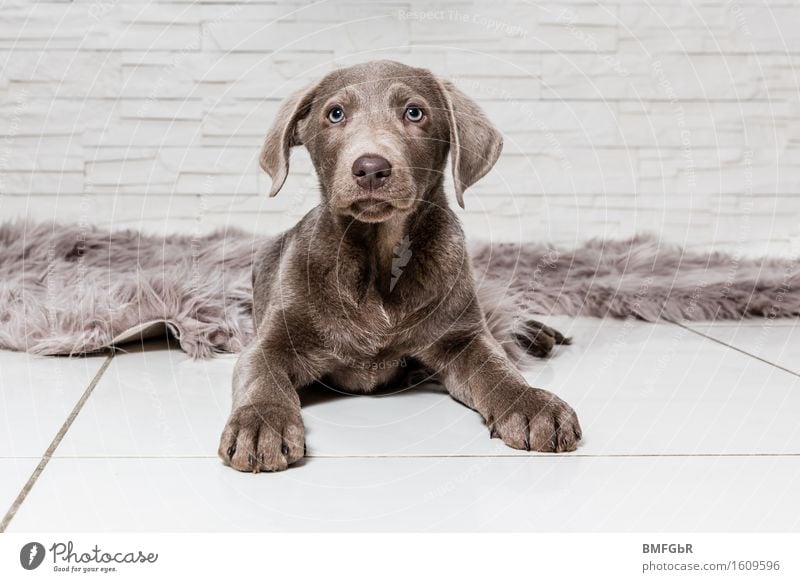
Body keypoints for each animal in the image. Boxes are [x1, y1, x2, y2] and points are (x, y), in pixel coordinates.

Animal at [219, 60, 580, 474]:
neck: (379, 257)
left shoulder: (462, 336)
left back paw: (538, 333)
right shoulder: (272, 341)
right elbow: (262, 376)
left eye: (414, 112)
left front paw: (531, 402)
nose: (371, 168)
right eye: (335, 114)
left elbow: (497, 368)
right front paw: (260, 422)